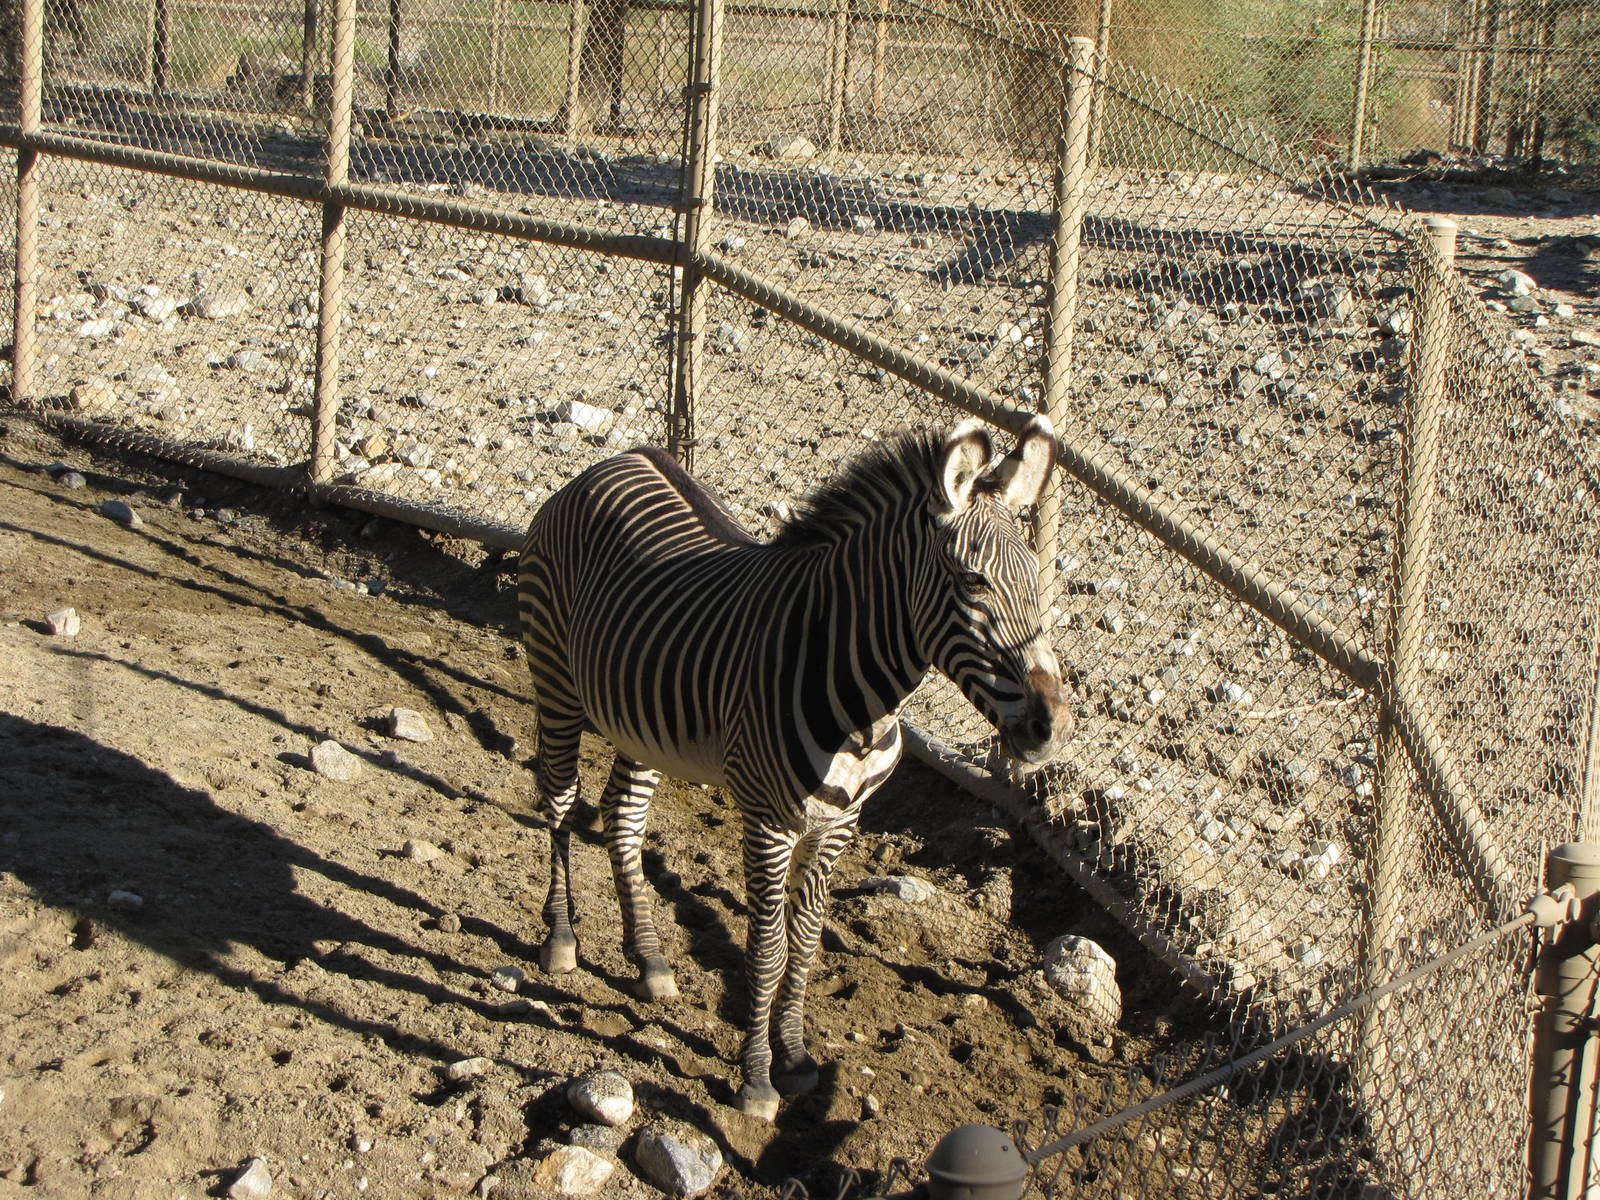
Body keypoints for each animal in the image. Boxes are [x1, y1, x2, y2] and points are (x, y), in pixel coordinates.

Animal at [516, 417, 1070, 1120]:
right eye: (974, 583)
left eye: (1037, 581)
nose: (1053, 727)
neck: (863, 703)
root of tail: (617, 460)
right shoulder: (768, 821)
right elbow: (767, 946)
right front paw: (756, 1080)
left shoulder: (840, 824)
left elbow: (805, 940)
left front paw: (798, 1059)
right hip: (555, 679)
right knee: (560, 803)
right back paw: (561, 939)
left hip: (639, 721)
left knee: (623, 819)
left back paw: (649, 961)